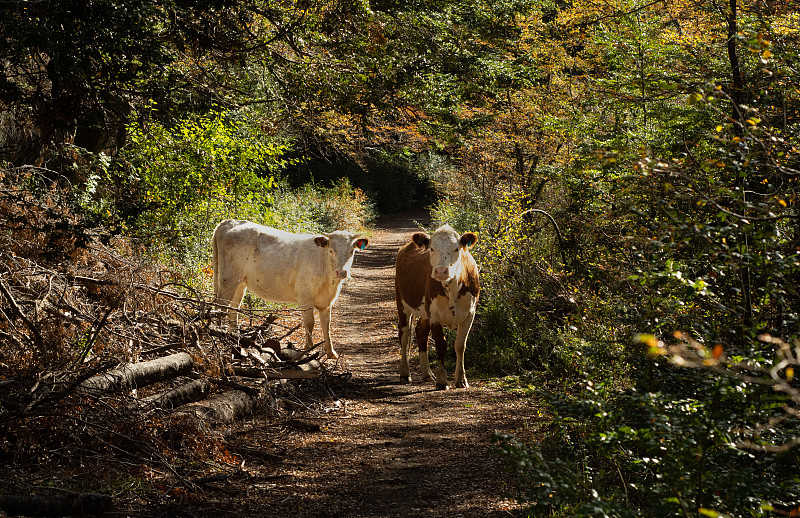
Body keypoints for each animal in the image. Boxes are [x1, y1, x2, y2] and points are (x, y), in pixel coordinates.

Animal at [209, 217, 366, 360]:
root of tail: (229, 222)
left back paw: (235, 339)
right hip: (228, 279)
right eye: (331, 251)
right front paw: (308, 351)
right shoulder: (305, 297)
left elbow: (326, 325)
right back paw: (220, 337)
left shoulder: (326, 302)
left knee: (233, 308)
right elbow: (309, 324)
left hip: (239, 283)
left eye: (352, 251)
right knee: (221, 307)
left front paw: (331, 353)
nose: (342, 272)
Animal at [392, 224, 478, 390]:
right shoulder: (435, 315)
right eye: (432, 248)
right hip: (402, 303)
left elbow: (460, 345)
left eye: (456, 248)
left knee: (421, 332)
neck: (452, 287)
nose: (441, 271)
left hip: (424, 312)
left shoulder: (470, 314)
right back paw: (405, 374)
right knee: (404, 336)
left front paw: (461, 379)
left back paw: (427, 374)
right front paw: (442, 381)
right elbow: (441, 345)